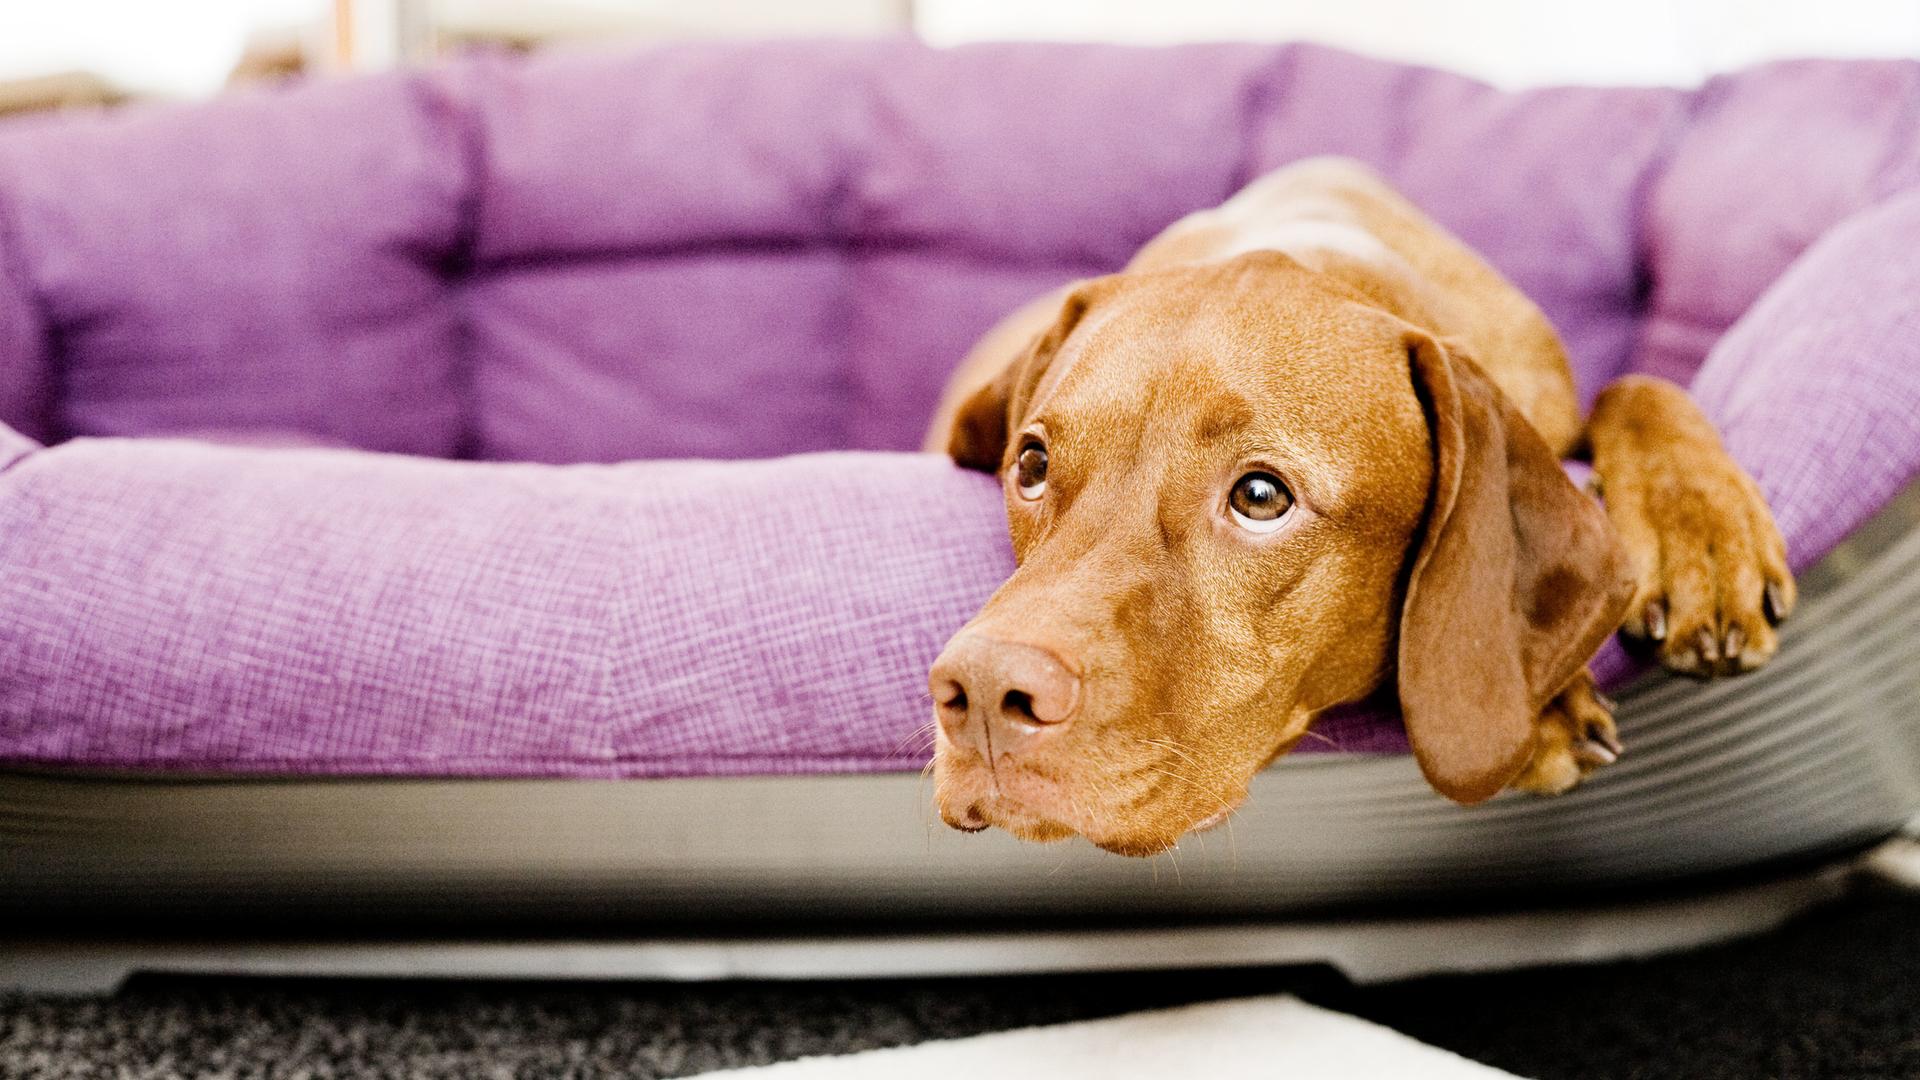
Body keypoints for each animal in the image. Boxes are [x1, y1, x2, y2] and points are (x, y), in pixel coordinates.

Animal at [921, 155, 1789, 853]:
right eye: (1031, 464)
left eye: (1261, 496)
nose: (984, 695)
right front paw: (1541, 708)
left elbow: (1638, 386)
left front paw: (1701, 536)